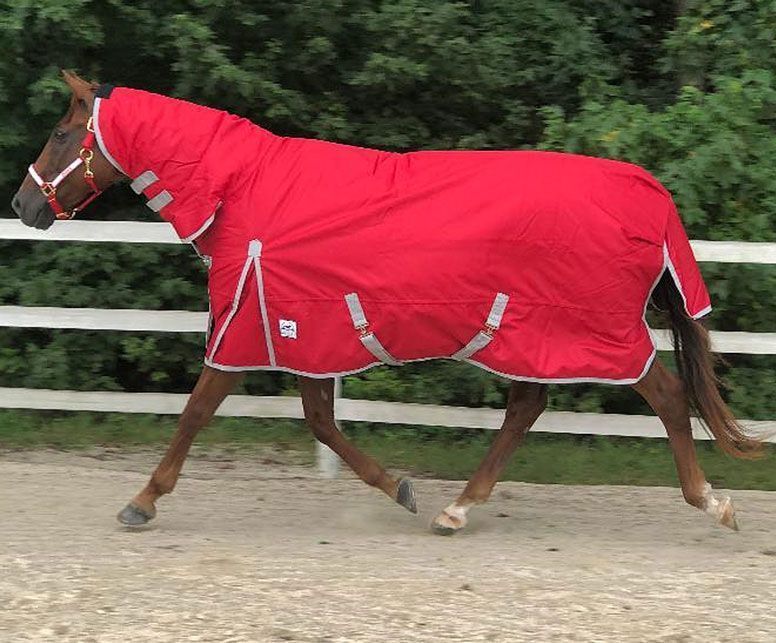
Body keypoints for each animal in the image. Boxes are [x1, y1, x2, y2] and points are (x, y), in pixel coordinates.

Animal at [11, 70, 760, 535]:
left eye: (59, 133)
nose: (23, 206)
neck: (242, 192)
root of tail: (648, 193)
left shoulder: (247, 329)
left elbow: (196, 412)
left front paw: (141, 502)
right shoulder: (305, 332)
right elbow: (322, 423)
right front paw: (400, 487)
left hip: (593, 333)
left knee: (665, 397)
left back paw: (713, 502)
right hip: (524, 334)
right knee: (527, 407)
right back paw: (457, 509)